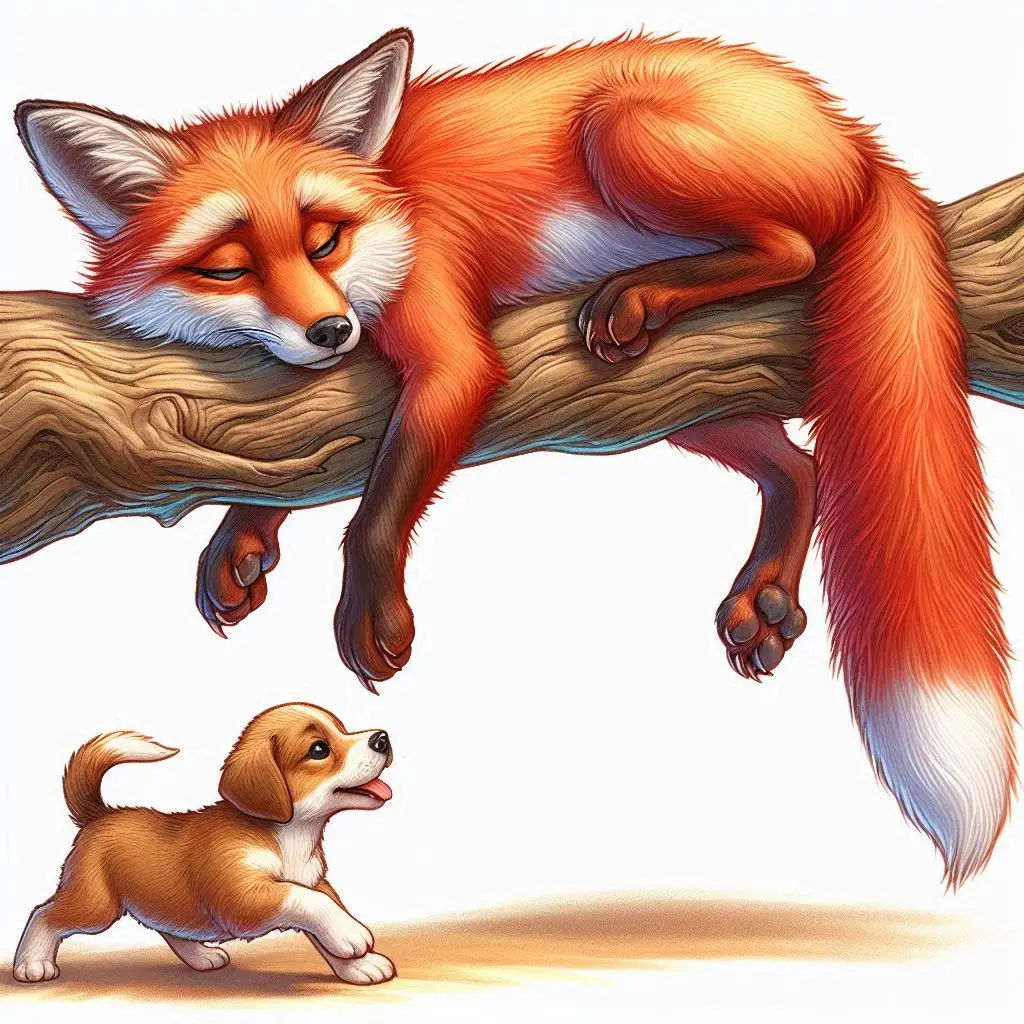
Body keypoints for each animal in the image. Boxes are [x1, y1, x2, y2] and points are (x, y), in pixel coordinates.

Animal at [15, 29, 1015, 888]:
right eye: (226, 268)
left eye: (323, 239)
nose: (332, 329)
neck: (394, 198)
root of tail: (857, 139)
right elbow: (296, 466)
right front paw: (245, 539)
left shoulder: (452, 351)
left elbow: (379, 500)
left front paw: (371, 610)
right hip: (686, 398)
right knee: (797, 466)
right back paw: (764, 593)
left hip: (624, 133)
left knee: (795, 249)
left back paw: (652, 289)